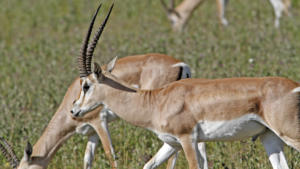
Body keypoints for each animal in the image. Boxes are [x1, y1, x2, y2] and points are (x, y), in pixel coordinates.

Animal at [0, 2, 209, 169]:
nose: (74, 110)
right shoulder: (91, 133)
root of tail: (181, 65)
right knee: (200, 145)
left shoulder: (98, 122)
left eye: (86, 86)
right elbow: (87, 161)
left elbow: (111, 156)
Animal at [72, 2, 300, 169]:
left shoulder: (187, 139)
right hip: (269, 137)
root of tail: (295, 87)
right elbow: (148, 165)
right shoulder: (171, 143)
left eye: (86, 85)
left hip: (289, 133)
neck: (156, 101)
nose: (74, 110)